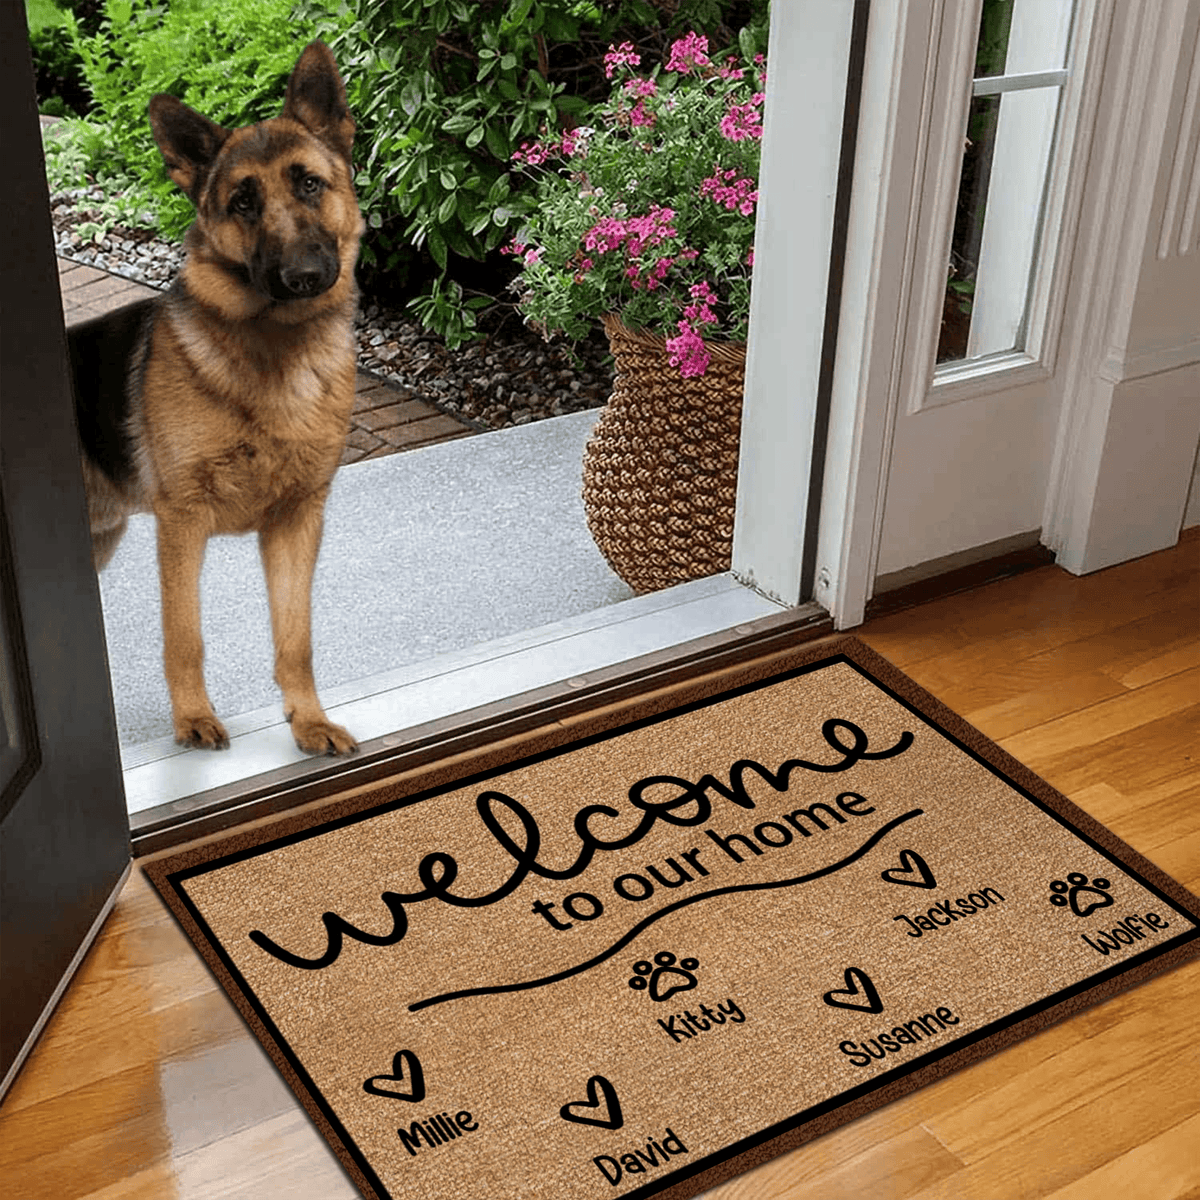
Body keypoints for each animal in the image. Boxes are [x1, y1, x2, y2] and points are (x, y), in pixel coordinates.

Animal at [69, 44, 360, 758]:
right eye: (242, 202)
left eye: (309, 184)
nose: (302, 278)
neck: (275, 348)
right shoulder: (181, 526)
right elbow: (185, 637)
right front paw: (192, 719)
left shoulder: (296, 524)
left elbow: (295, 639)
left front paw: (308, 721)